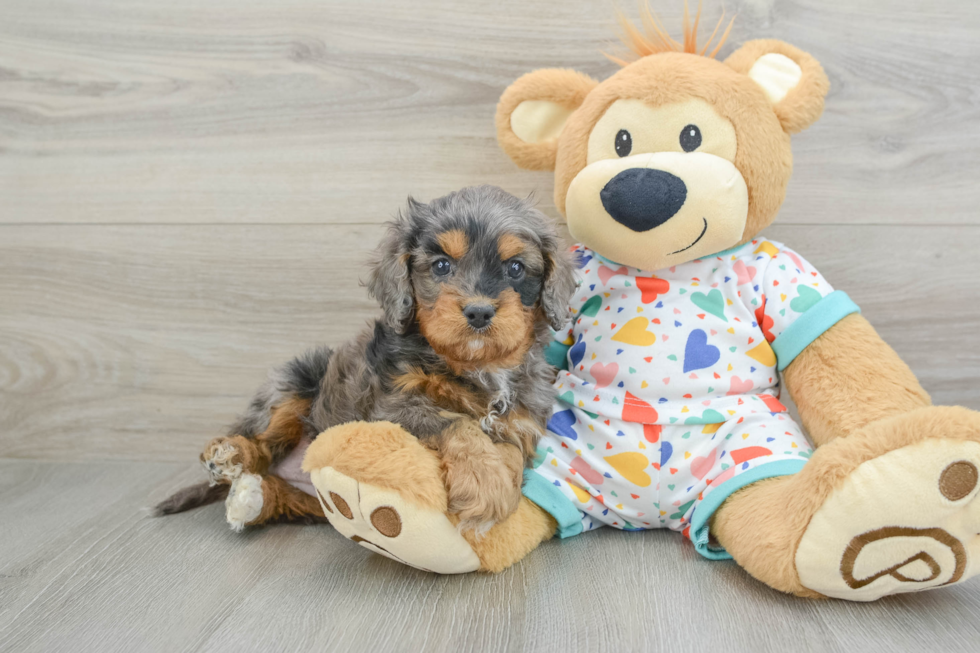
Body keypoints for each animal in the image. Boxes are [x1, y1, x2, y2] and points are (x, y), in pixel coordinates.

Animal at [157, 186, 580, 532]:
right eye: (442, 265)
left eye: (515, 268)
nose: (478, 312)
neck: (478, 367)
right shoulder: (390, 406)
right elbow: (458, 422)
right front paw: (484, 482)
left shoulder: (522, 421)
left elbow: (509, 448)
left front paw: (502, 481)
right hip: (298, 379)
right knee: (262, 441)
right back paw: (229, 455)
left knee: (279, 494)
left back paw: (254, 498)